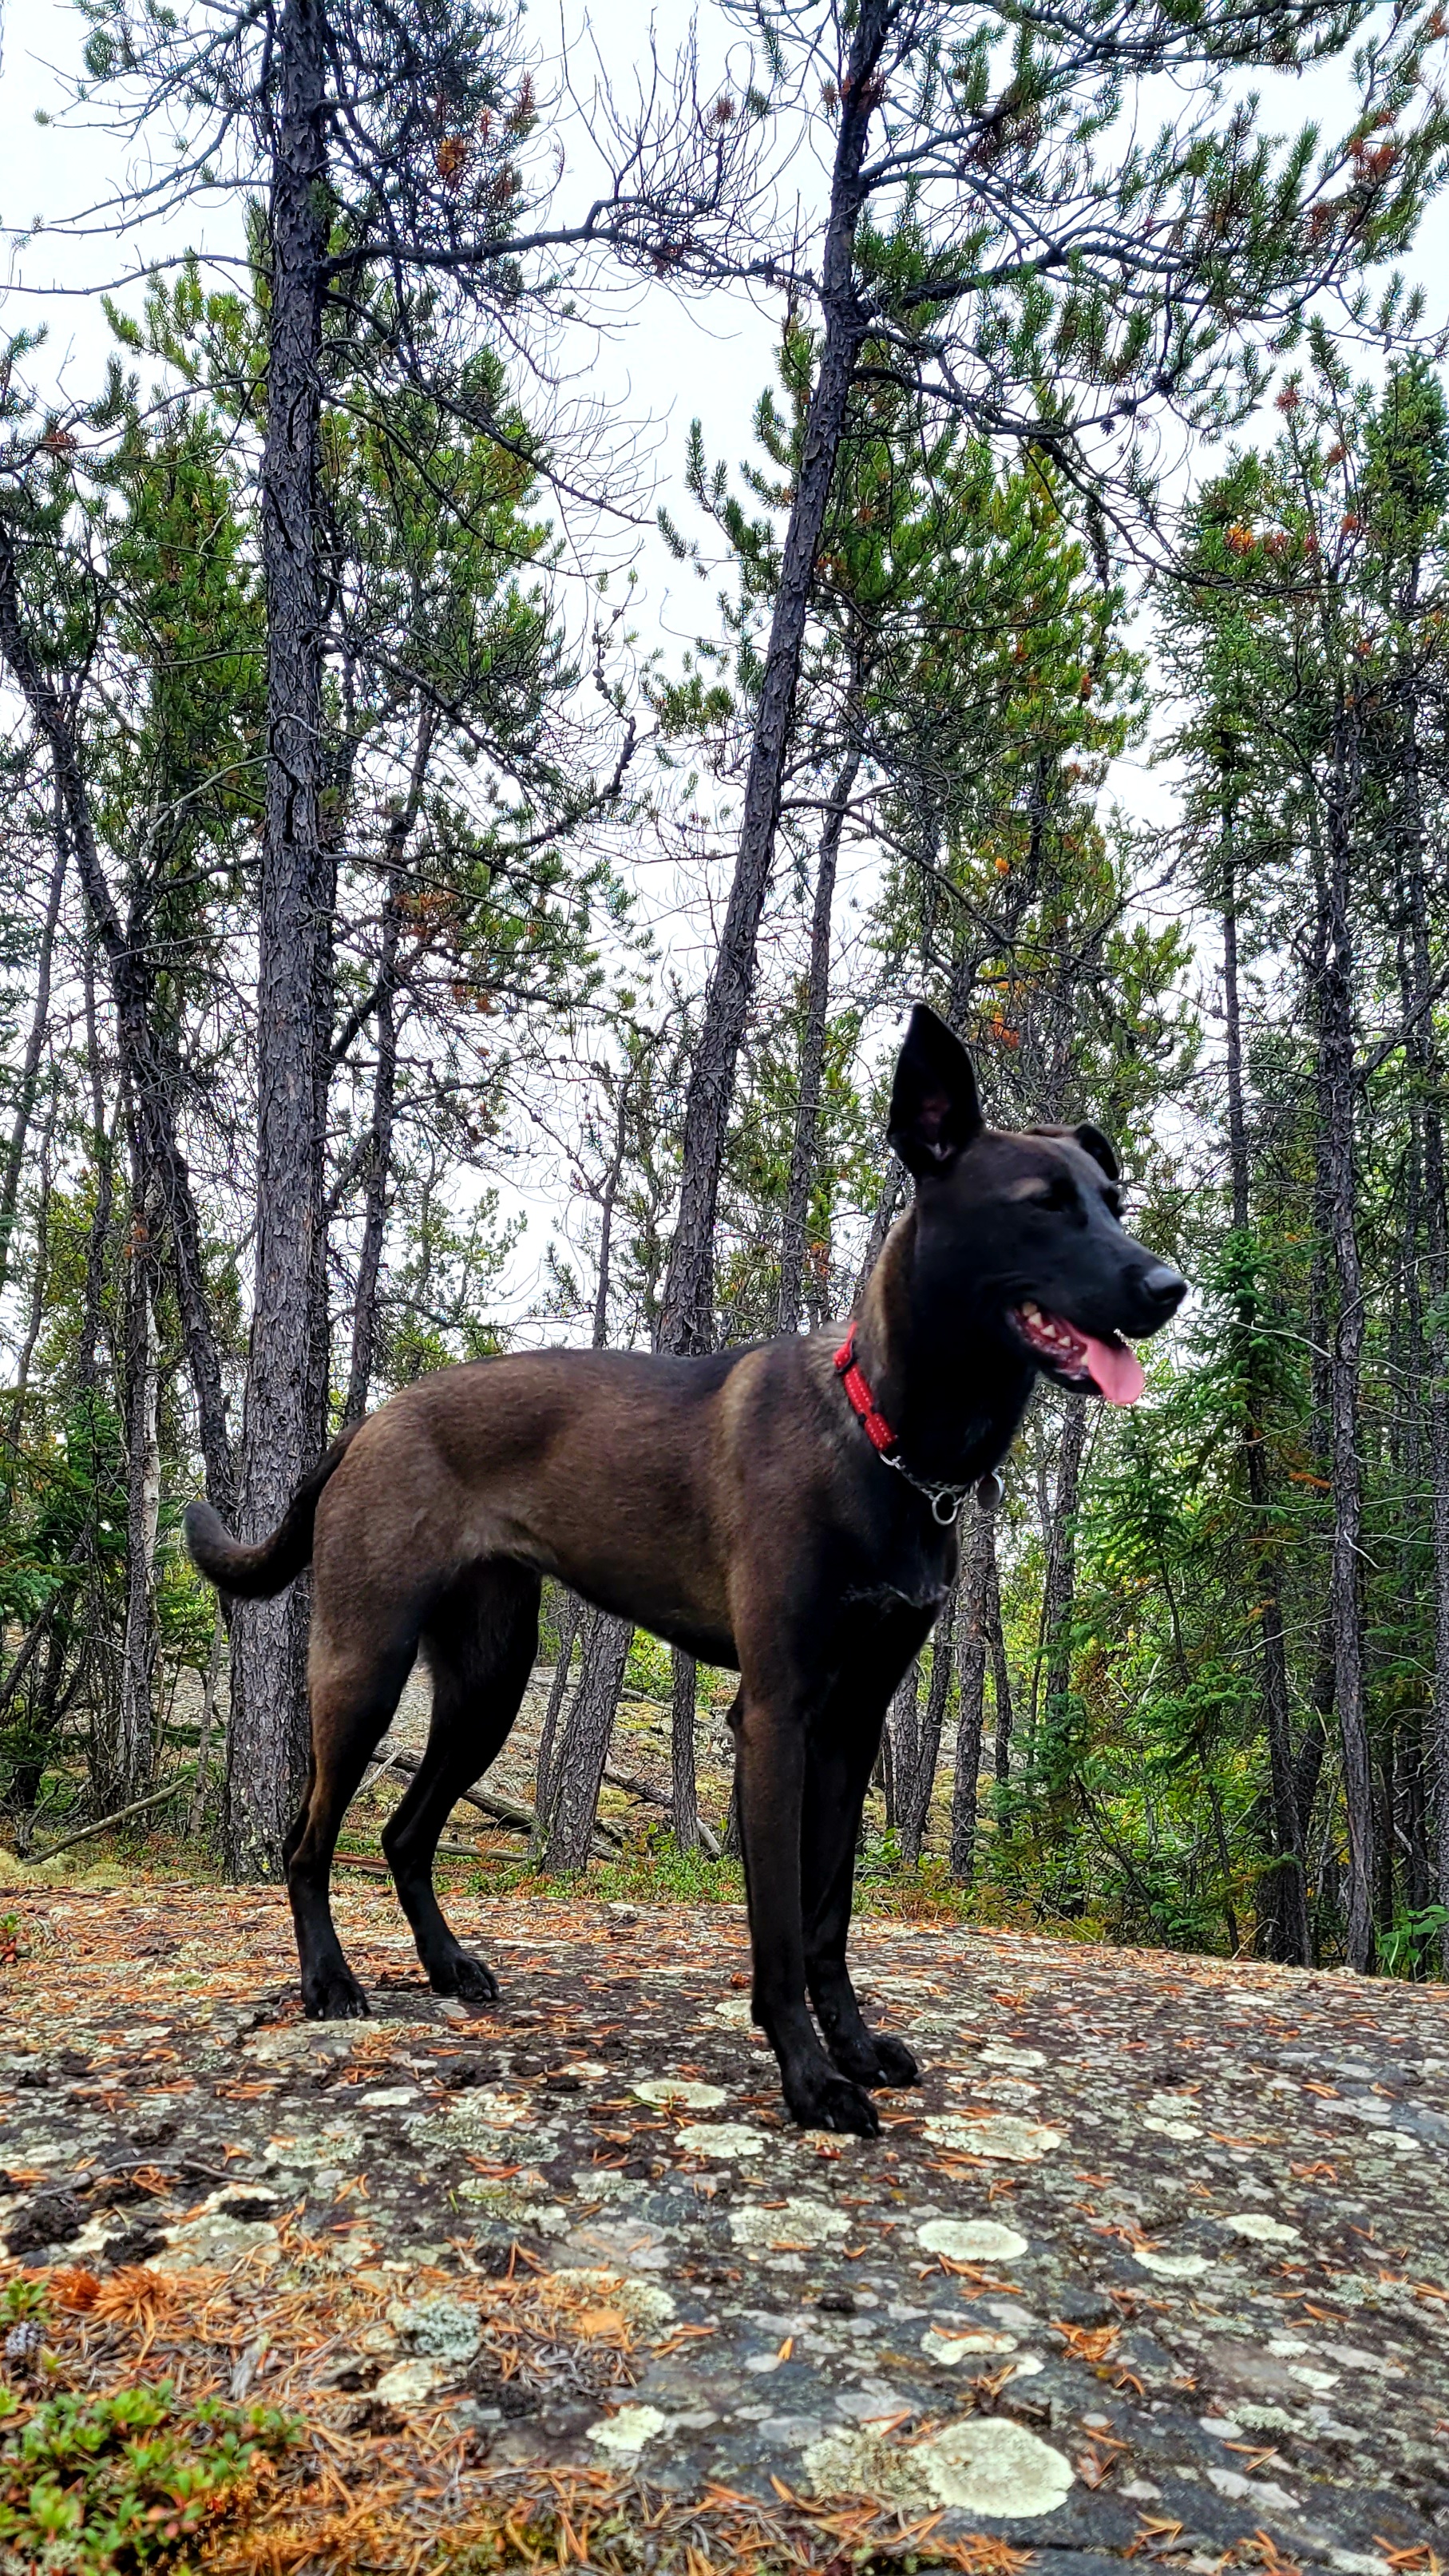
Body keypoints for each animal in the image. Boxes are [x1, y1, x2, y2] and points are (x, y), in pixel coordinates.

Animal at [185, 1005, 1185, 2135]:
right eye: (1042, 1206)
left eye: (1112, 1203)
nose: (1169, 1287)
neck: (887, 1443)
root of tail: (367, 1421)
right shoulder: (773, 1715)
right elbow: (780, 1927)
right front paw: (809, 2078)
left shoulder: (853, 1725)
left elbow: (829, 1914)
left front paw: (853, 2045)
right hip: (364, 1665)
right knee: (306, 1839)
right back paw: (330, 1981)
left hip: (486, 1681)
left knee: (403, 1832)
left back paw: (446, 1964)